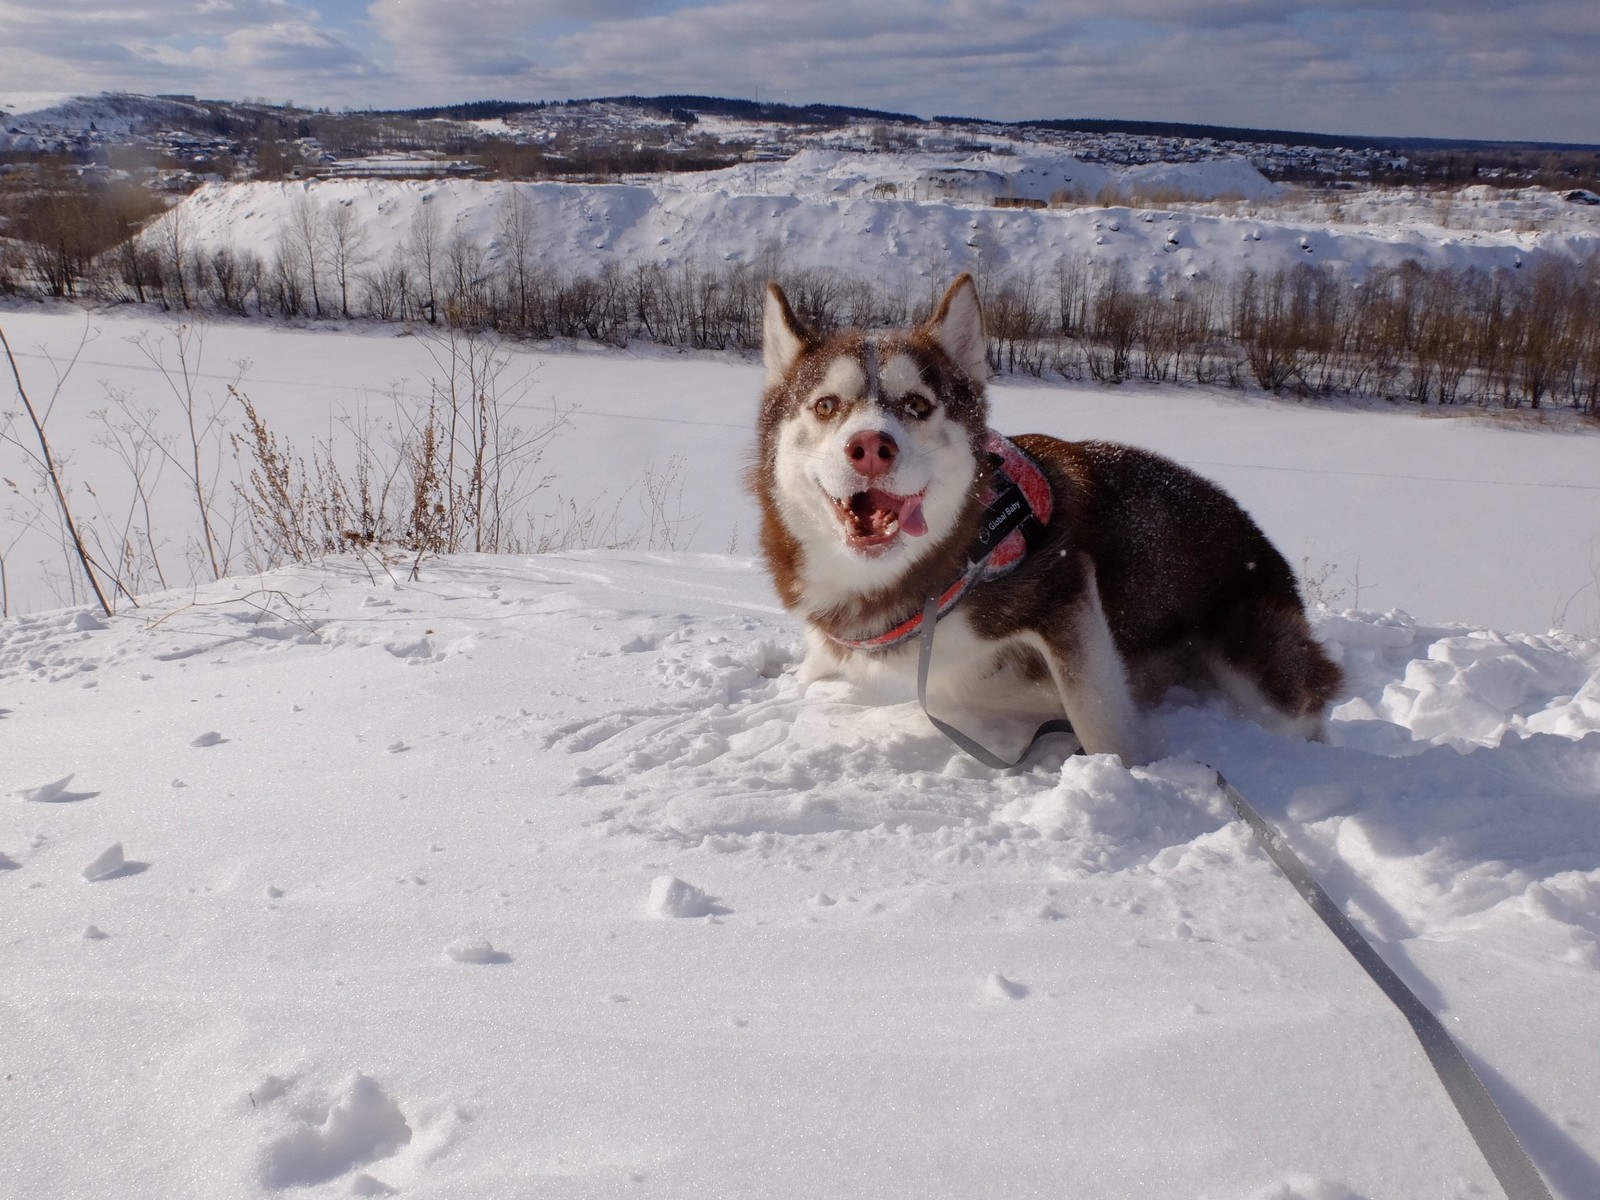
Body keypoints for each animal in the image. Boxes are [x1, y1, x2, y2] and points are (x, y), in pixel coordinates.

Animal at [755, 272, 1344, 764]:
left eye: (918, 405)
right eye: (826, 405)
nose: (871, 448)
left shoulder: (1066, 593)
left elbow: (1101, 720)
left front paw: (1130, 779)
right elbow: (813, 668)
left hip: (1256, 657)